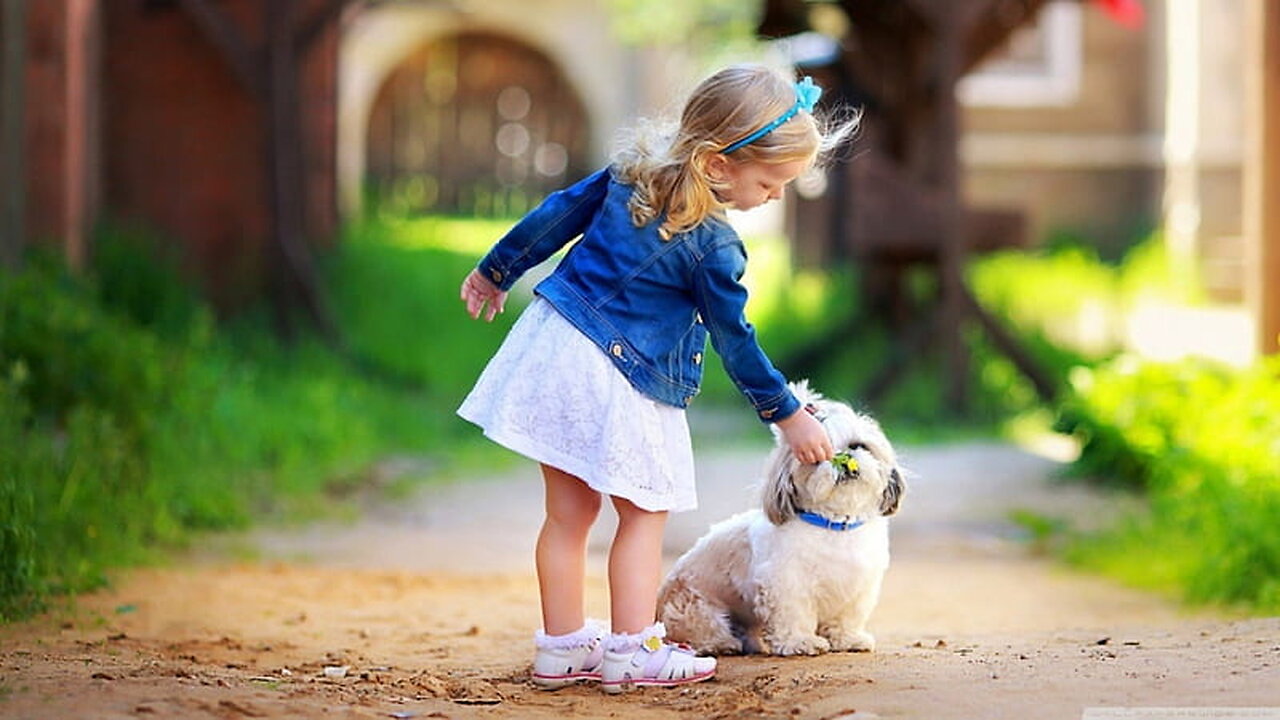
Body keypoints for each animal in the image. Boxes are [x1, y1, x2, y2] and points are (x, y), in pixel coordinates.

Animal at [655, 384, 906, 653]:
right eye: (816, 457)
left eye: (858, 446)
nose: (842, 458)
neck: (836, 524)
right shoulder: (787, 583)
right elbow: (794, 614)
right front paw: (801, 641)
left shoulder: (858, 586)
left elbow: (846, 617)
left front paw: (848, 639)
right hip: (694, 608)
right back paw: (722, 643)